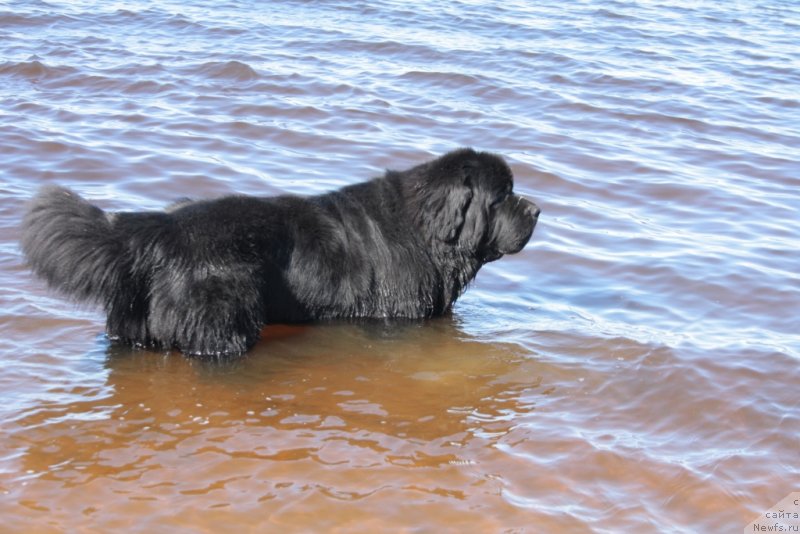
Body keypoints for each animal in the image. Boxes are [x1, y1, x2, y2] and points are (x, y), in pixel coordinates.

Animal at [21, 149, 540, 358]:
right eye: (503, 196)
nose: (537, 208)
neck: (430, 232)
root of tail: (162, 229)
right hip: (222, 320)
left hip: (132, 327)